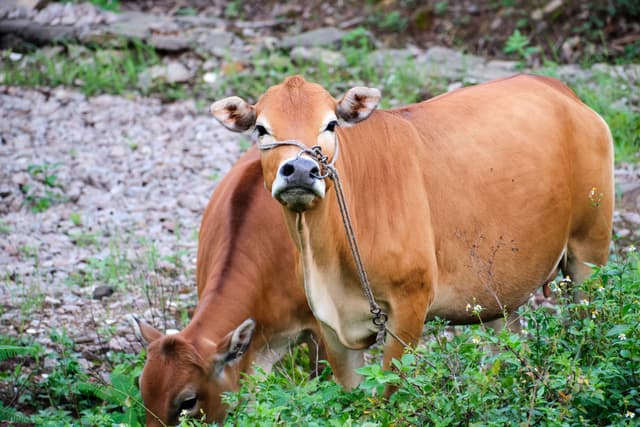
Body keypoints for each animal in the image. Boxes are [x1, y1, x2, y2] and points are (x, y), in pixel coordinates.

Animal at [210, 74, 614, 391]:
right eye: (261, 128)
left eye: (331, 124)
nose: (299, 170)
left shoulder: (409, 306)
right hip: (500, 291)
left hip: (589, 255)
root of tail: (561, 91)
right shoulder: (328, 324)